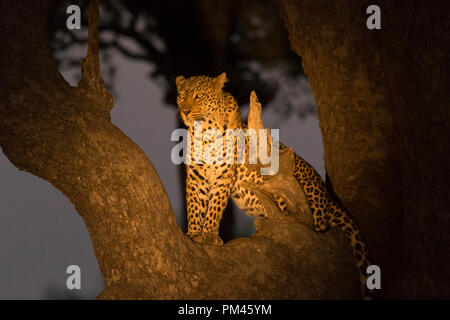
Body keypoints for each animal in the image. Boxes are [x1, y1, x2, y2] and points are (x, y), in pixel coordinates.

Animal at [176, 72, 372, 298]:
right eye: (181, 96)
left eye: (199, 96)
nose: (185, 111)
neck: (204, 132)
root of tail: (329, 199)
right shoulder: (195, 176)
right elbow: (194, 205)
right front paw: (193, 234)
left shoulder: (225, 174)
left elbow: (215, 206)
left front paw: (208, 236)